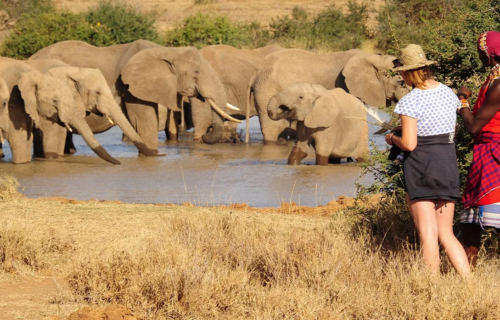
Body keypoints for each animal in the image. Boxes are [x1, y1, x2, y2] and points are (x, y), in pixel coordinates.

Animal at [246, 49, 410, 144]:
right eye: (400, 82)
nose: (381, 131)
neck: (373, 57)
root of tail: (256, 72)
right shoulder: (344, 85)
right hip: (266, 92)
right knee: (272, 130)